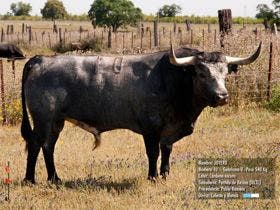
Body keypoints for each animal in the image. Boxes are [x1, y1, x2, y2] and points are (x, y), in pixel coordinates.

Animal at [20, 43, 262, 183]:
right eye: (201, 73)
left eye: (225, 72)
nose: (222, 97)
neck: (173, 78)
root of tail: (41, 59)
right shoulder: (151, 128)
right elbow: (153, 153)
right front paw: (153, 177)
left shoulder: (169, 129)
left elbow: (167, 150)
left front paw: (165, 175)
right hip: (43, 119)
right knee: (36, 144)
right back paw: (31, 179)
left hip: (56, 121)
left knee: (48, 146)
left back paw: (54, 179)